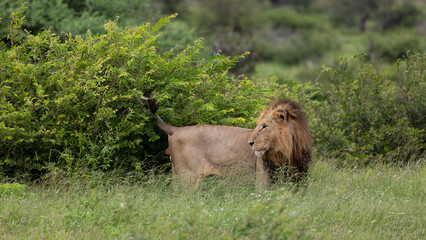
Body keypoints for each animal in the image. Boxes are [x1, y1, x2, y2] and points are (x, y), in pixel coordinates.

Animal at [142, 97, 310, 188]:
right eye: (258, 125)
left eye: (264, 126)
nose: (250, 143)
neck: (287, 154)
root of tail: (175, 130)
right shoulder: (262, 184)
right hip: (187, 177)